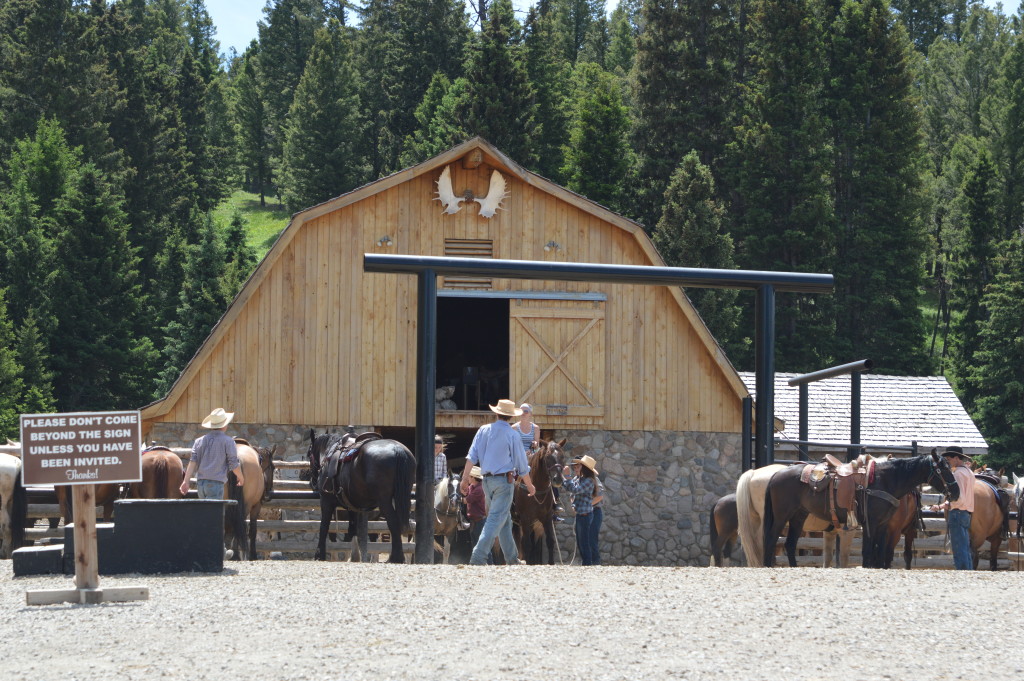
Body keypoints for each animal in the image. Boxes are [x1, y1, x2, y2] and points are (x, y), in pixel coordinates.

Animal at [303, 432, 415, 561]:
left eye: (308, 453)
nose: (312, 483)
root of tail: (397, 450)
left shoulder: (326, 501)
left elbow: (324, 527)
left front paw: (319, 554)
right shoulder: (353, 506)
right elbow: (353, 530)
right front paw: (355, 557)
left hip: (384, 501)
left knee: (393, 523)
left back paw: (395, 557)